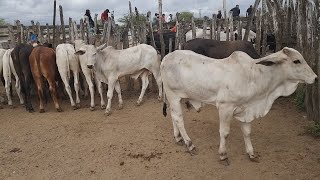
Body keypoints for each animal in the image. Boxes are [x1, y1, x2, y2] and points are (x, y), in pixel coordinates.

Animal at [161, 47, 316, 164]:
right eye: (296, 61)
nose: (315, 77)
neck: (254, 76)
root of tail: (166, 57)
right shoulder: (225, 107)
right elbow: (224, 132)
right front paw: (223, 155)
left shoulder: (246, 110)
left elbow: (247, 132)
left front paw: (251, 153)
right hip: (173, 95)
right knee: (179, 118)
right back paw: (190, 144)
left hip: (175, 98)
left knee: (173, 116)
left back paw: (178, 138)